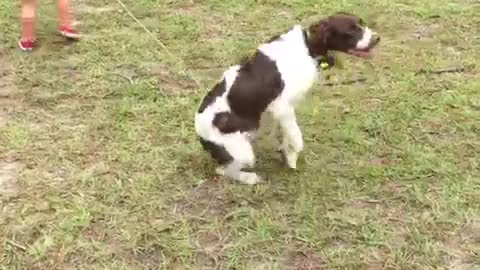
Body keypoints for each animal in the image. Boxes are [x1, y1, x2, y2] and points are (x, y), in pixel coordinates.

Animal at [194, 11, 378, 185]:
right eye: (350, 31)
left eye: (362, 23)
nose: (377, 39)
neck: (307, 46)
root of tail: (200, 136)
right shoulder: (282, 107)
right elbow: (297, 139)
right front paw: (292, 155)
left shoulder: (283, 111)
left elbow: (285, 134)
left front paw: (287, 154)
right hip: (242, 152)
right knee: (223, 170)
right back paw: (249, 178)